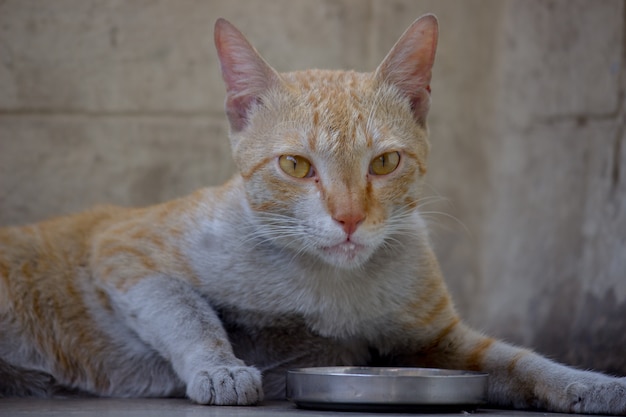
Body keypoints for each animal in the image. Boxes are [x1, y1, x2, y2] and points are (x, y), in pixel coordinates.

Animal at [1, 15, 624, 412]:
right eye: (296, 165)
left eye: (385, 162)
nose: (348, 218)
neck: (332, 287)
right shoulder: (125, 248)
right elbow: (189, 314)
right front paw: (220, 368)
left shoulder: (440, 340)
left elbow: (523, 363)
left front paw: (595, 385)